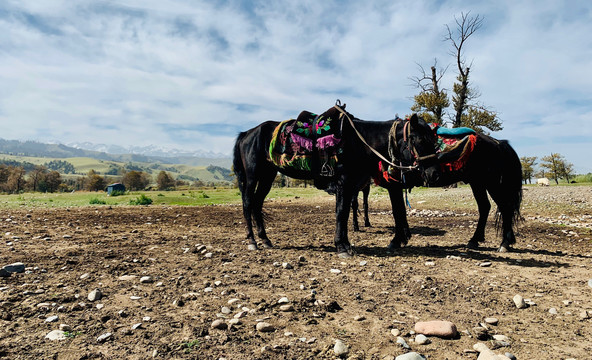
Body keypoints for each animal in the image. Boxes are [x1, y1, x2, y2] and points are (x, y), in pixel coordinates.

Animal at [232, 102, 440, 258]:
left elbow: (347, 212)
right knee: (248, 203)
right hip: (252, 177)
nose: (434, 174)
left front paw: (346, 244)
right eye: (420, 140)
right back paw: (252, 241)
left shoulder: (351, 187)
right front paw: (342, 246)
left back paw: (265, 239)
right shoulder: (343, 184)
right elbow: (341, 213)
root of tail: (247, 134)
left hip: (267, 176)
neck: (360, 143)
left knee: (257, 204)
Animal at [402, 122, 524, 252]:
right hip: (478, 183)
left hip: (492, 184)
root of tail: (499, 143)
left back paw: (504, 243)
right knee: (486, 207)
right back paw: (476, 240)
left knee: (505, 207)